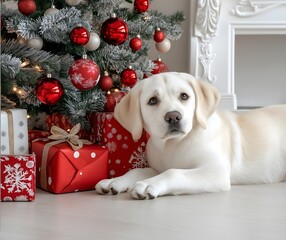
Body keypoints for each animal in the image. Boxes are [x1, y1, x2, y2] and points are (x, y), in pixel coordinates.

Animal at [95, 72, 286, 200]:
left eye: (184, 96)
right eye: (152, 100)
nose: (173, 117)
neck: (173, 145)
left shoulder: (215, 171)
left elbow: (174, 172)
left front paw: (148, 184)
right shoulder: (156, 167)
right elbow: (139, 170)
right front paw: (114, 182)